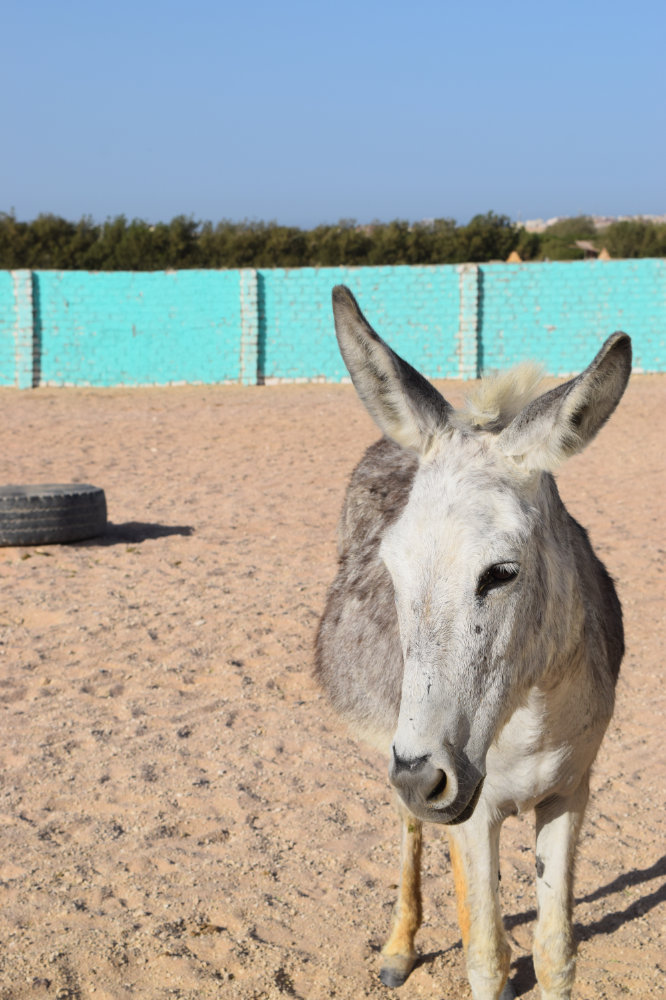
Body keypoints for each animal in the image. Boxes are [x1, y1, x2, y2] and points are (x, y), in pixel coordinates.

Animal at [315, 285, 631, 1000]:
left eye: (502, 572)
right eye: (391, 569)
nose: (422, 775)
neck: (530, 721)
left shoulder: (572, 791)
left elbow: (555, 953)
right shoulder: (470, 809)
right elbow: (486, 957)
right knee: (412, 833)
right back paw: (399, 949)